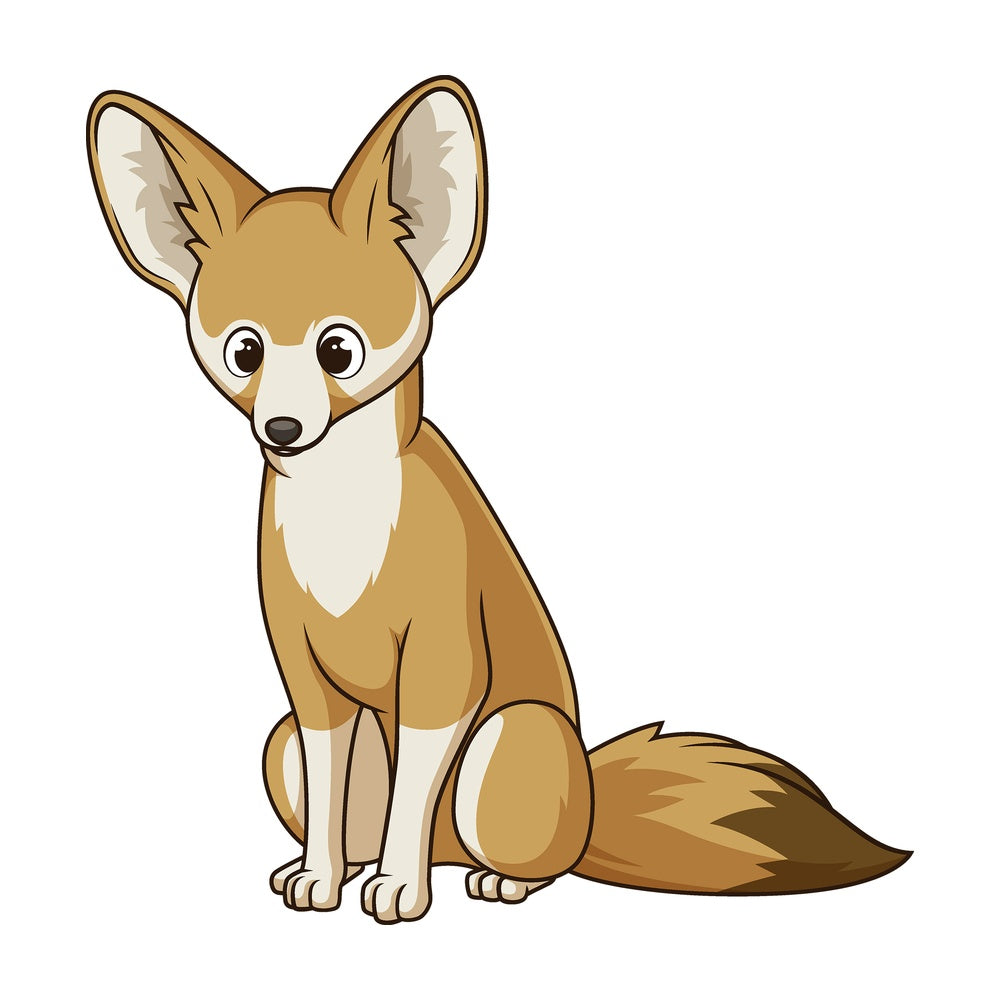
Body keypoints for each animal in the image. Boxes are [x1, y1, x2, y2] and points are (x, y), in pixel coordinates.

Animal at [87, 76, 909, 923]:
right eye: (244, 351)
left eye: (337, 350)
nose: (281, 428)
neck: (342, 529)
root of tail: (590, 799)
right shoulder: (306, 683)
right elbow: (327, 799)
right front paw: (321, 877)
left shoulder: (443, 664)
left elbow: (414, 793)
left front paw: (399, 889)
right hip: (284, 741)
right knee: (365, 819)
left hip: (510, 736)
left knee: (536, 857)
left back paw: (493, 879)